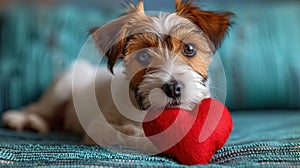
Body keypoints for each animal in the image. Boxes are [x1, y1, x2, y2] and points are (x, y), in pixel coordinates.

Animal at [1, 0, 232, 152]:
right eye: (144, 56)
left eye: (189, 49)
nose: (173, 88)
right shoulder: (99, 126)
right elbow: (125, 134)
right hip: (61, 88)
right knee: (36, 107)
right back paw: (20, 119)